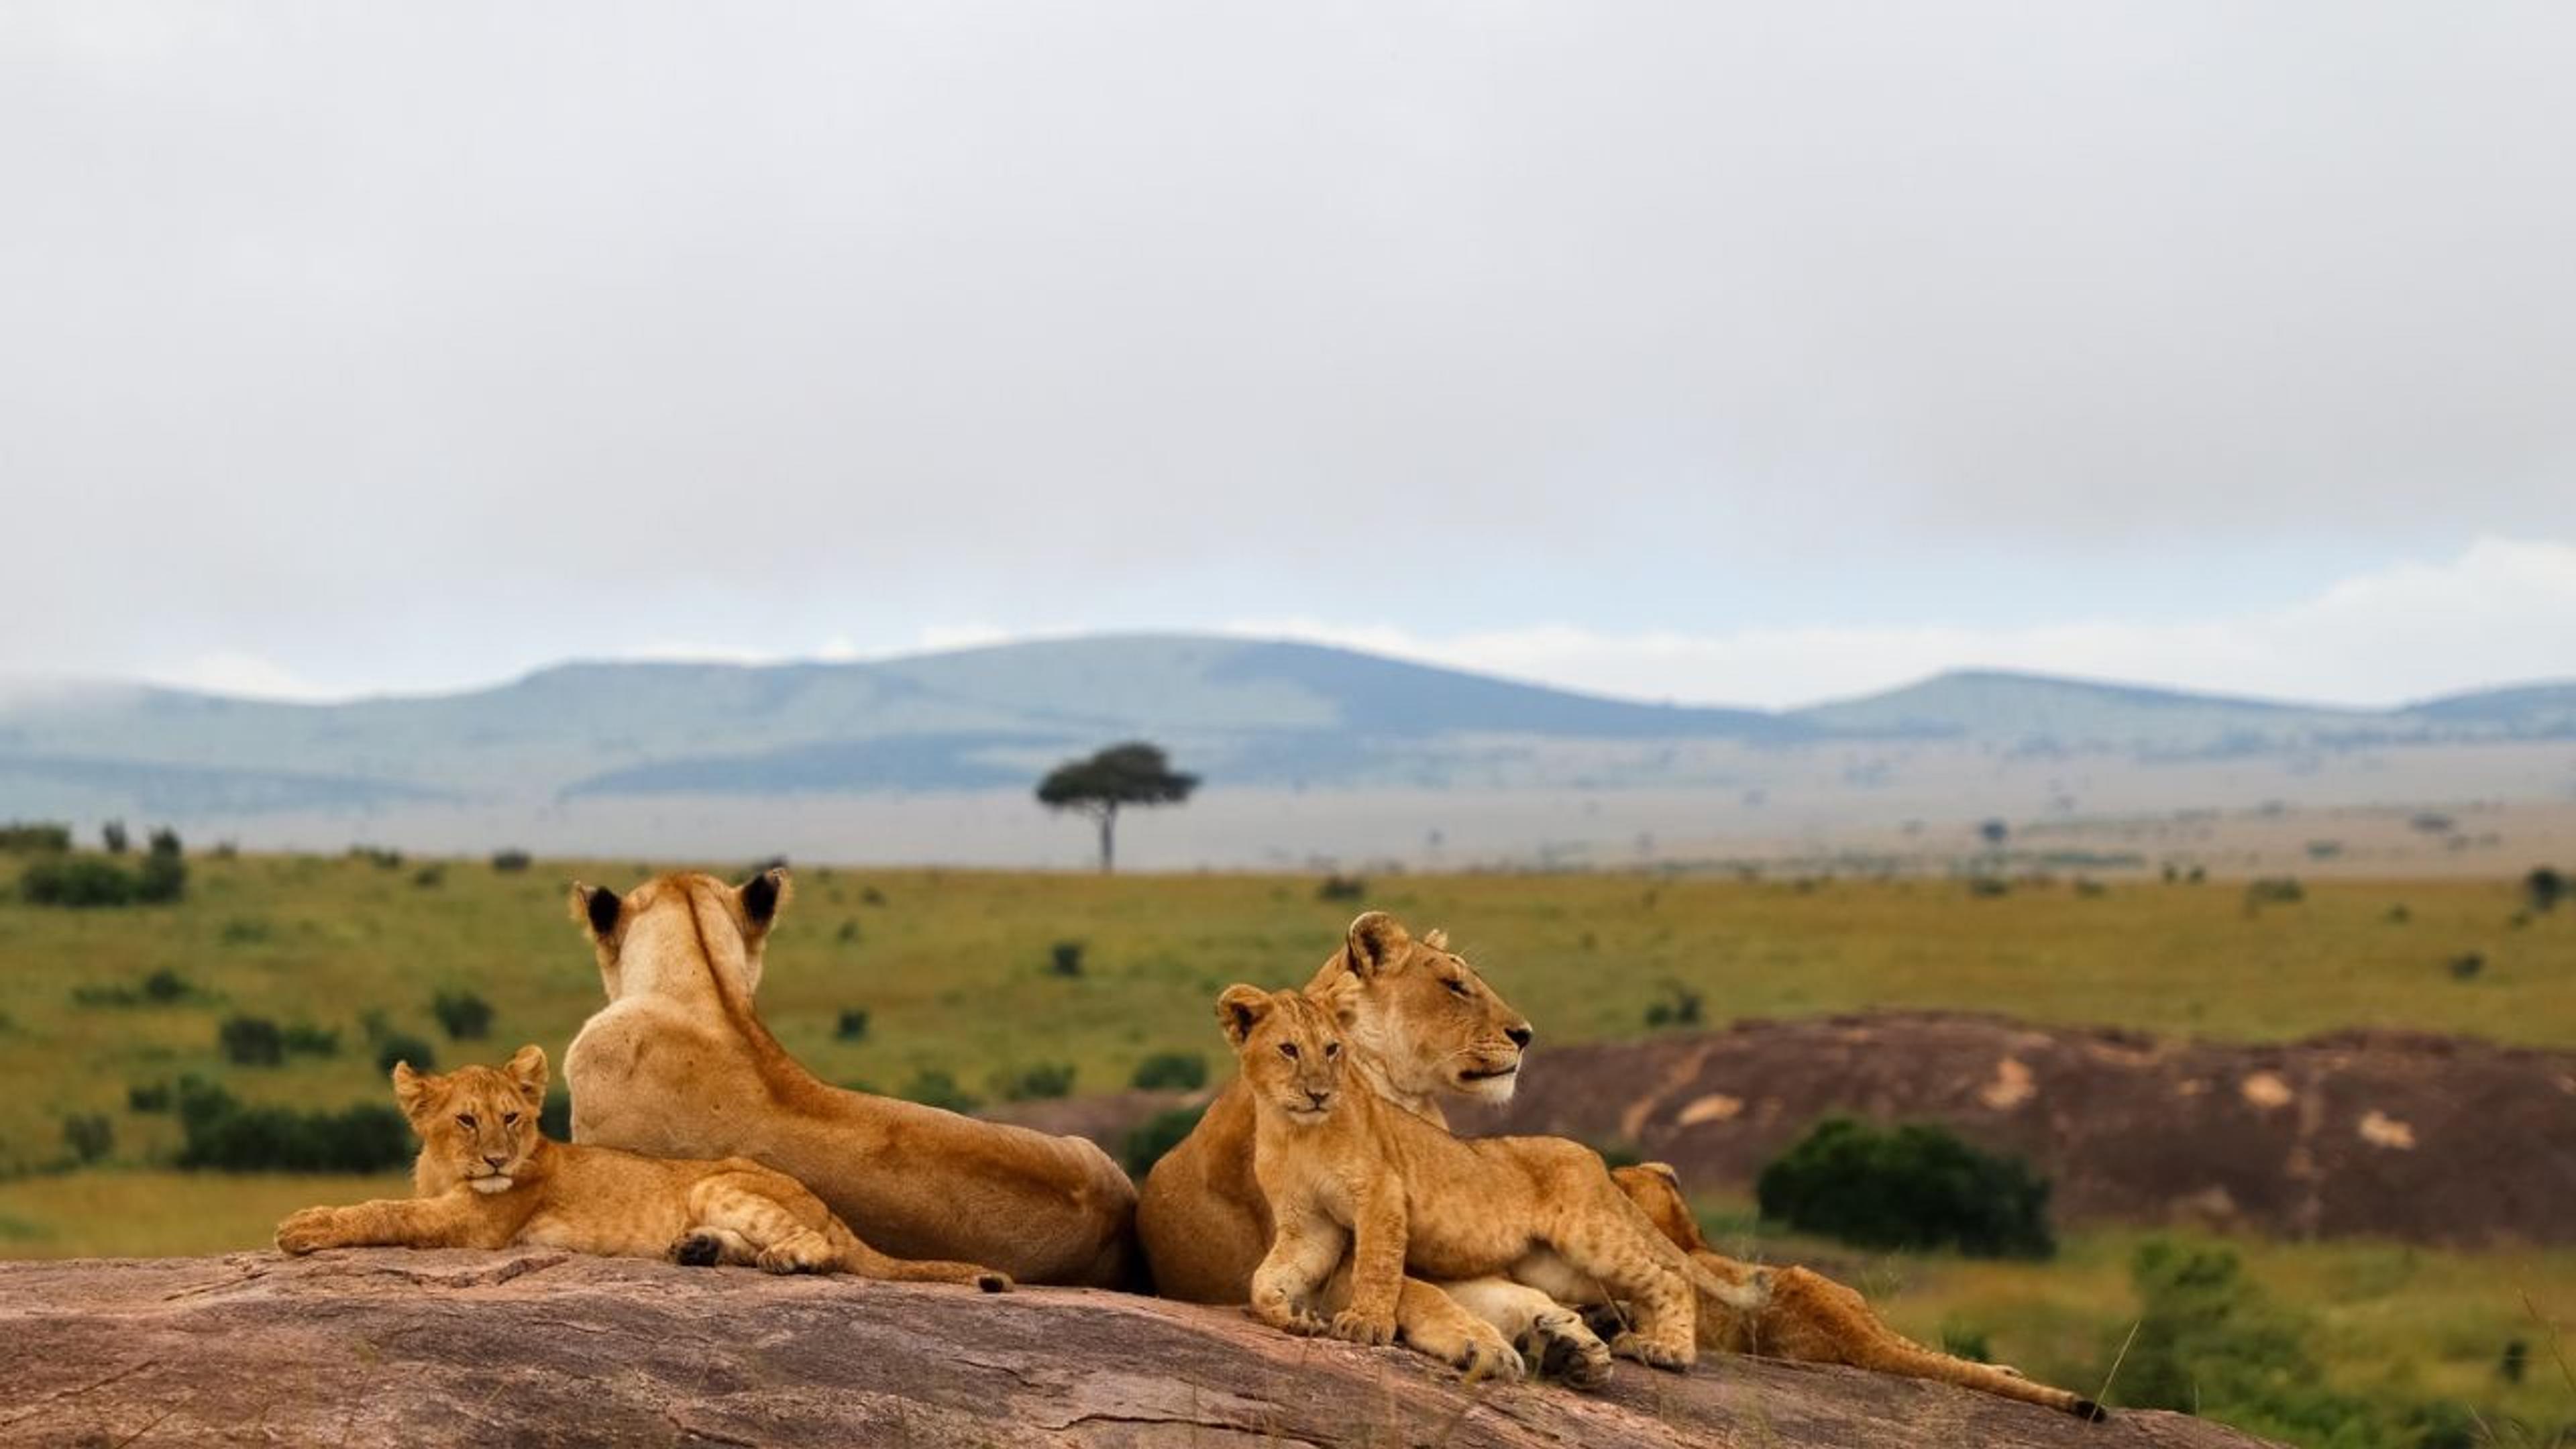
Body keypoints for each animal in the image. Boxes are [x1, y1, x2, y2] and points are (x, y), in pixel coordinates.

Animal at [274, 1045, 1011, 1292]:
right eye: (466, 1120)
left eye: (512, 1117)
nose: (498, 1158)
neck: (447, 1173)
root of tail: (826, 1203)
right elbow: (387, 1203)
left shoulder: (477, 1226)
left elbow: (384, 1211)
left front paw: (305, 1227)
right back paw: (697, 1250)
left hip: (720, 1181)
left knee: (819, 1248)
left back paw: (781, 1258)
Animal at [1139, 912, 1599, 1381]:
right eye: (1453, 985)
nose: (1525, 1035)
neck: (1401, 1099)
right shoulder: (1317, 1261)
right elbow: (1414, 1290)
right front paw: (1481, 1342)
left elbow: (1500, 1290)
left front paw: (1569, 1337)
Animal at [1218, 984, 1769, 1372]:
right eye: (1290, 1050)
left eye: (1333, 1049)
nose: (1318, 1093)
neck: (1296, 1131)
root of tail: (1592, 1159)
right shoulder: (1308, 1224)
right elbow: (1266, 1278)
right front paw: (1288, 1316)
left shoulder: (1380, 1196)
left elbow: (1380, 1268)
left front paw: (1366, 1323)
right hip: (1557, 1267)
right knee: (1627, 1288)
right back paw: (1626, 1338)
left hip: (1593, 1237)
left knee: (1671, 1277)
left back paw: (1668, 1350)